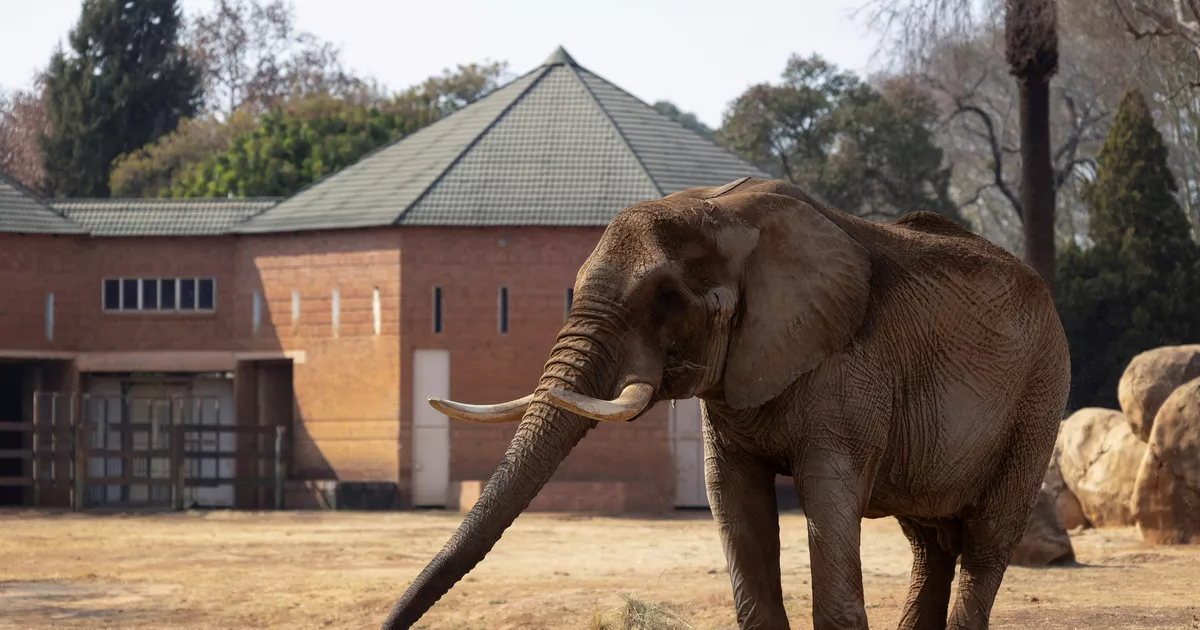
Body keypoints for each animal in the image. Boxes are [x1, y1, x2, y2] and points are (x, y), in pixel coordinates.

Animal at [381, 174, 1070, 624]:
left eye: (665, 297)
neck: (724, 210)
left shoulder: (848, 369)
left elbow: (827, 500)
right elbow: (732, 496)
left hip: (1040, 397)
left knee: (984, 543)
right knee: (930, 547)